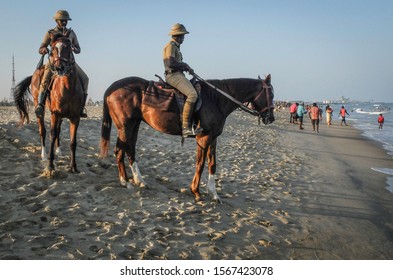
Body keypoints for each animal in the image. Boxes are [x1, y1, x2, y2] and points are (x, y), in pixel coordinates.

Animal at [13, 34, 83, 172]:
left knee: (58, 131)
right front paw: (50, 165)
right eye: (52, 49)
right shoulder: (55, 114)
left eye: (68, 48)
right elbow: (52, 134)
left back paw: (58, 151)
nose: (59, 68)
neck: (68, 87)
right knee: (43, 130)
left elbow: (73, 141)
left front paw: (73, 166)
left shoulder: (75, 117)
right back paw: (44, 155)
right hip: (39, 105)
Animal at [99, 74, 274, 201]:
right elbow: (200, 164)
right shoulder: (203, 138)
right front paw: (195, 191)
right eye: (271, 94)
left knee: (130, 150)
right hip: (125, 126)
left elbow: (212, 164)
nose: (271, 118)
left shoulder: (213, 138)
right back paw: (125, 182)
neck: (216, 99)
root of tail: (113, 87)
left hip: (134, 125)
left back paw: (139, 180)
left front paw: (213, 193)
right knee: (119, 150)